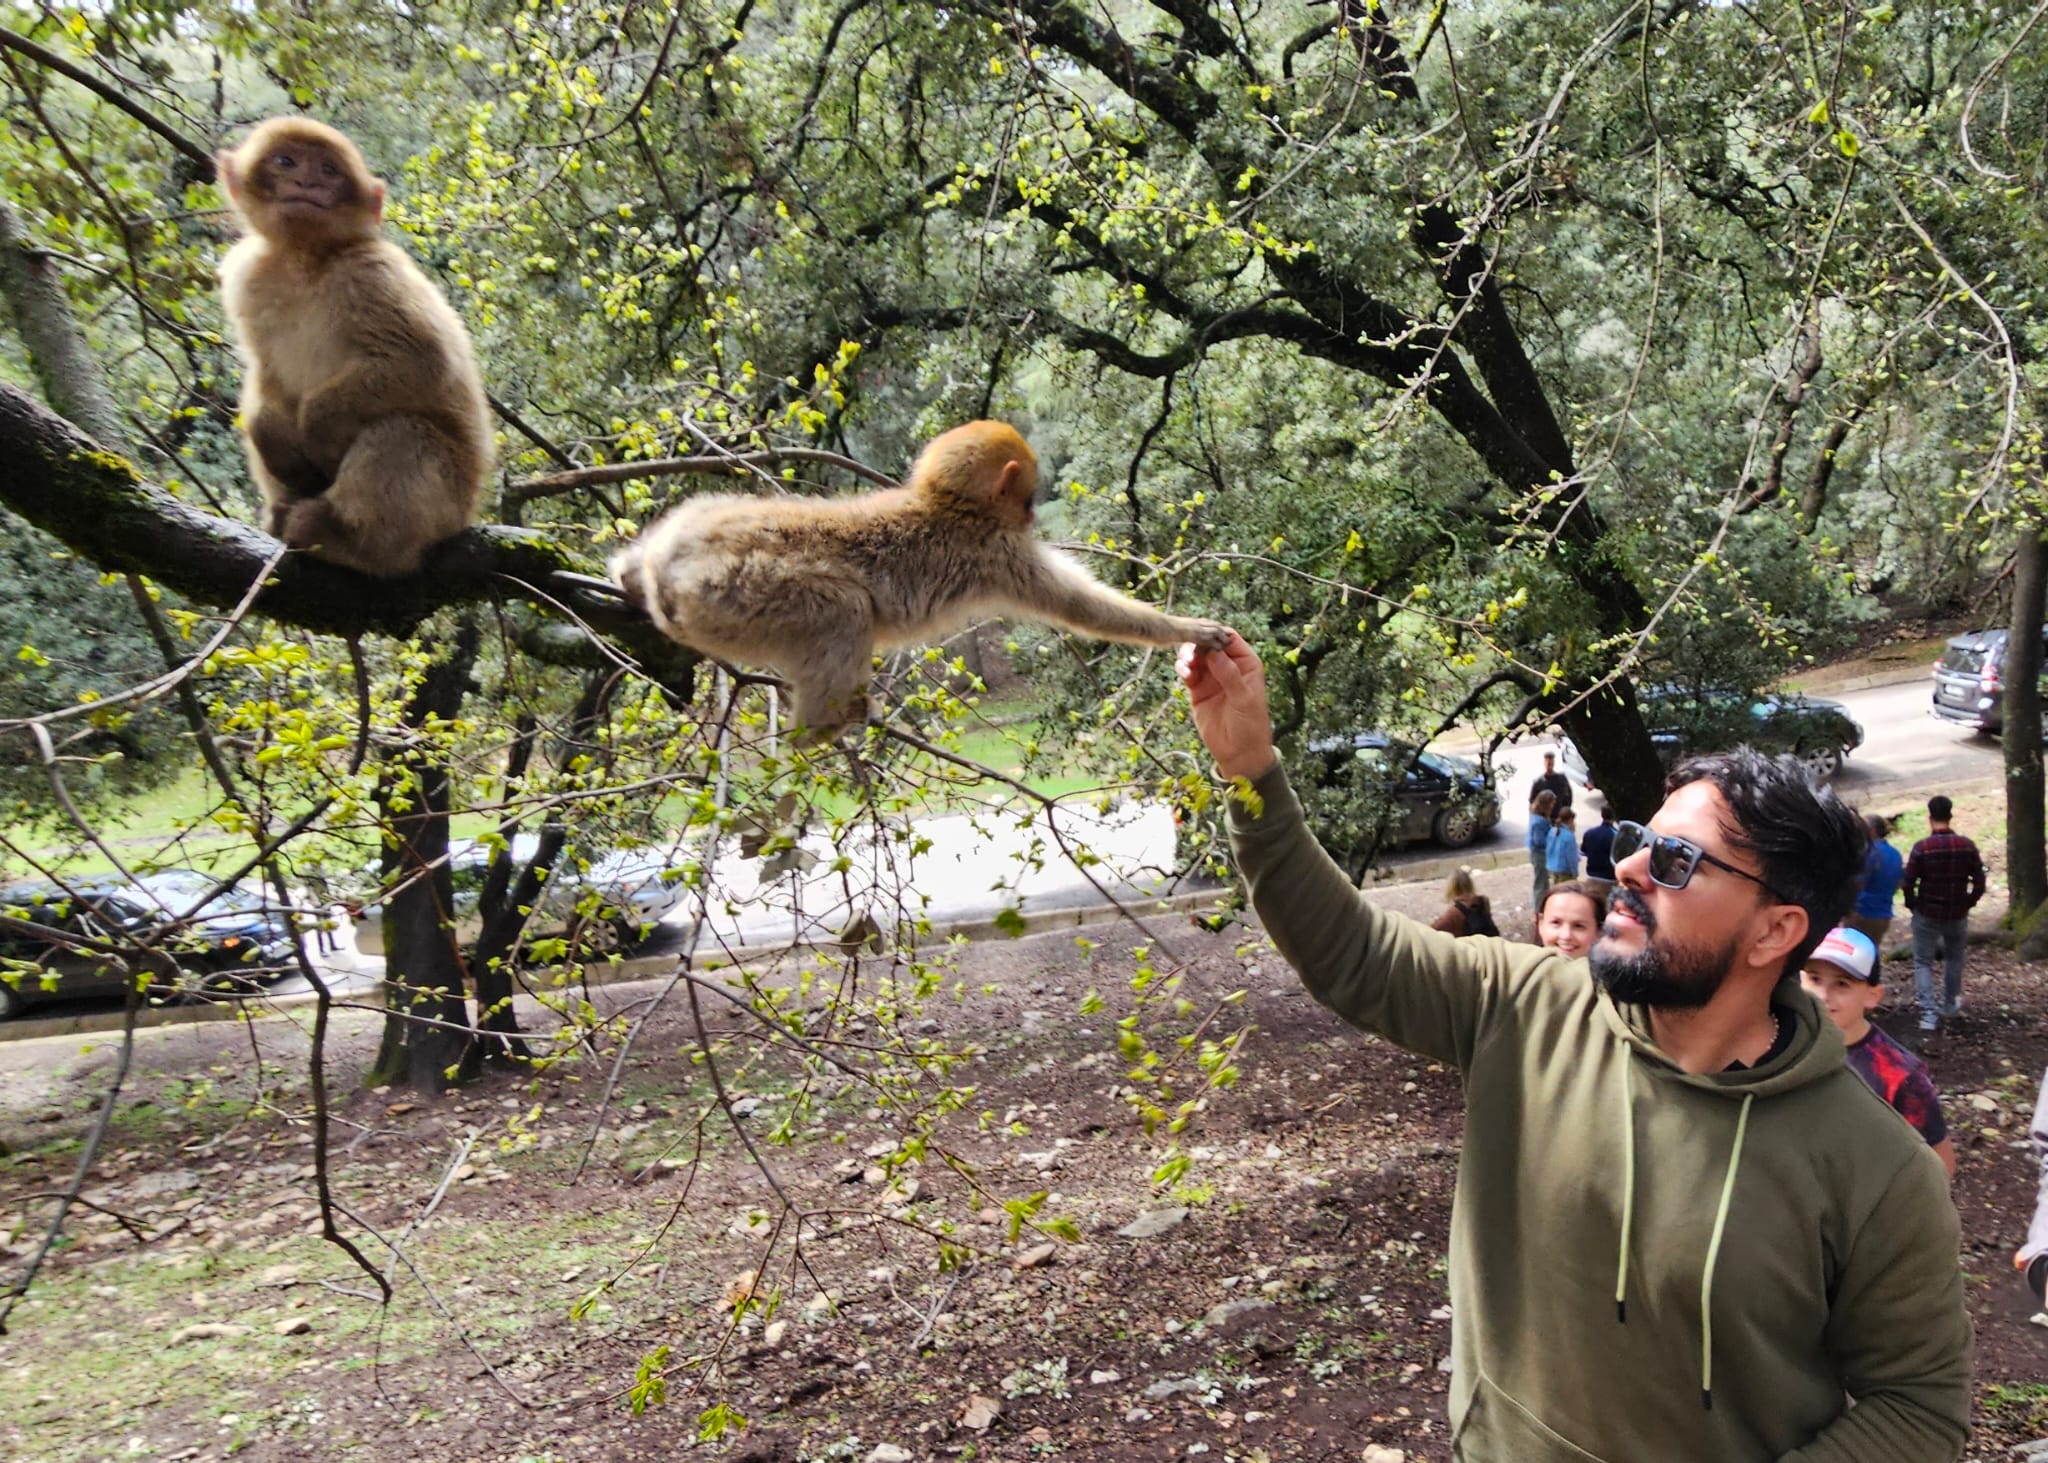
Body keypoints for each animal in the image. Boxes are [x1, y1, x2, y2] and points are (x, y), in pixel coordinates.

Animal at [216, 118, 491, 577]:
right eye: (286, 161)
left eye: (329, 170)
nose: (306, 181)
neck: (304, 259)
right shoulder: (248, 278)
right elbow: (263, 375)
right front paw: (274, 434)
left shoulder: (371, 274)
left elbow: (424, 360)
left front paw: (318, 426)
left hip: (449, 503)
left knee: (405, 432)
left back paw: (354, 544)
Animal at [608, 420, 1231, 741]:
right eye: (1027, 498)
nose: (1032, 514)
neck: (948, 507)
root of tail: (669, 566)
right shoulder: (999, 554)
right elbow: (1084, 609)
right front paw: (1187, 628)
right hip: (738, 591)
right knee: (845, 610)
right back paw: (821, 726)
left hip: (699, 550)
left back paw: (625, 574)